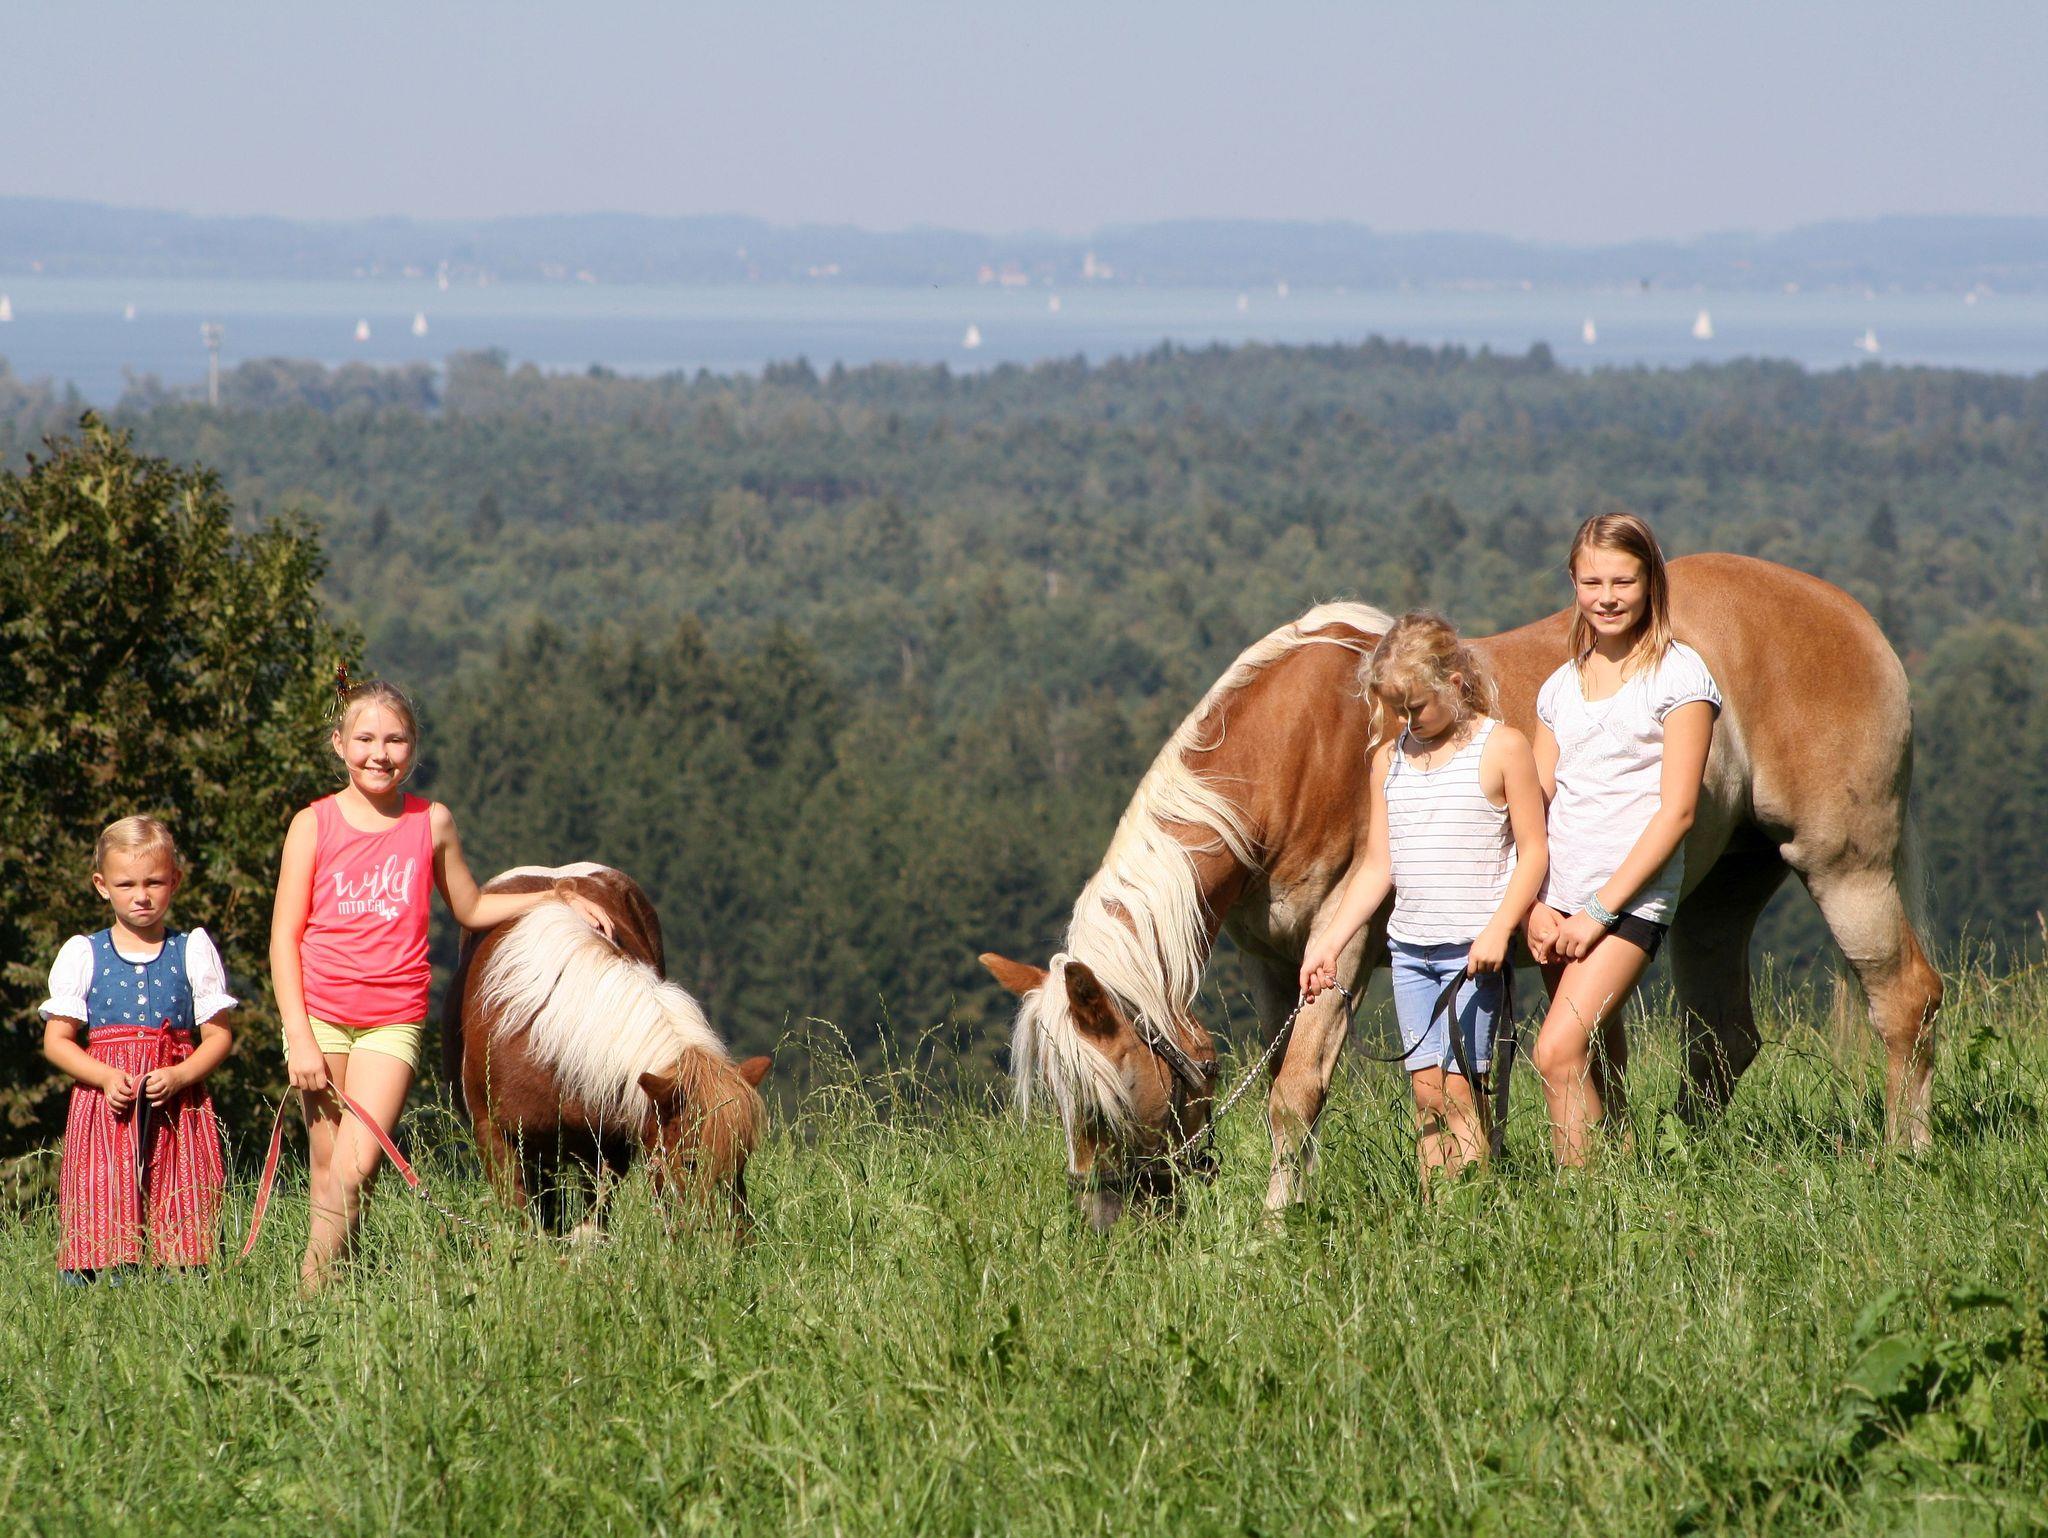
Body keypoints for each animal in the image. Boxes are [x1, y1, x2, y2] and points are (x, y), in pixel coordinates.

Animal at [443, 863, 772, 1238]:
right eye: (690, 1161)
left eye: (743, 1158)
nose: (733, 1241)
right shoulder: (496, 1138)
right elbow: (524, 1222)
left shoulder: (607, 1148)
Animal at [981, 554, 1942, 1228]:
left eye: (1107, 1103)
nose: (1107, 1224)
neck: (1305, 746)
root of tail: (1852, 617)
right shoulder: (1277, 964)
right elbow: (1305, 1086)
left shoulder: (1348, 946)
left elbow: (1297, 1094)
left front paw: (1275, 1227)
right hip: (1720, 894)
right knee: (1721, 1041)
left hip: (1846, 863)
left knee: (1905, 1000)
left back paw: (1907, 1155)